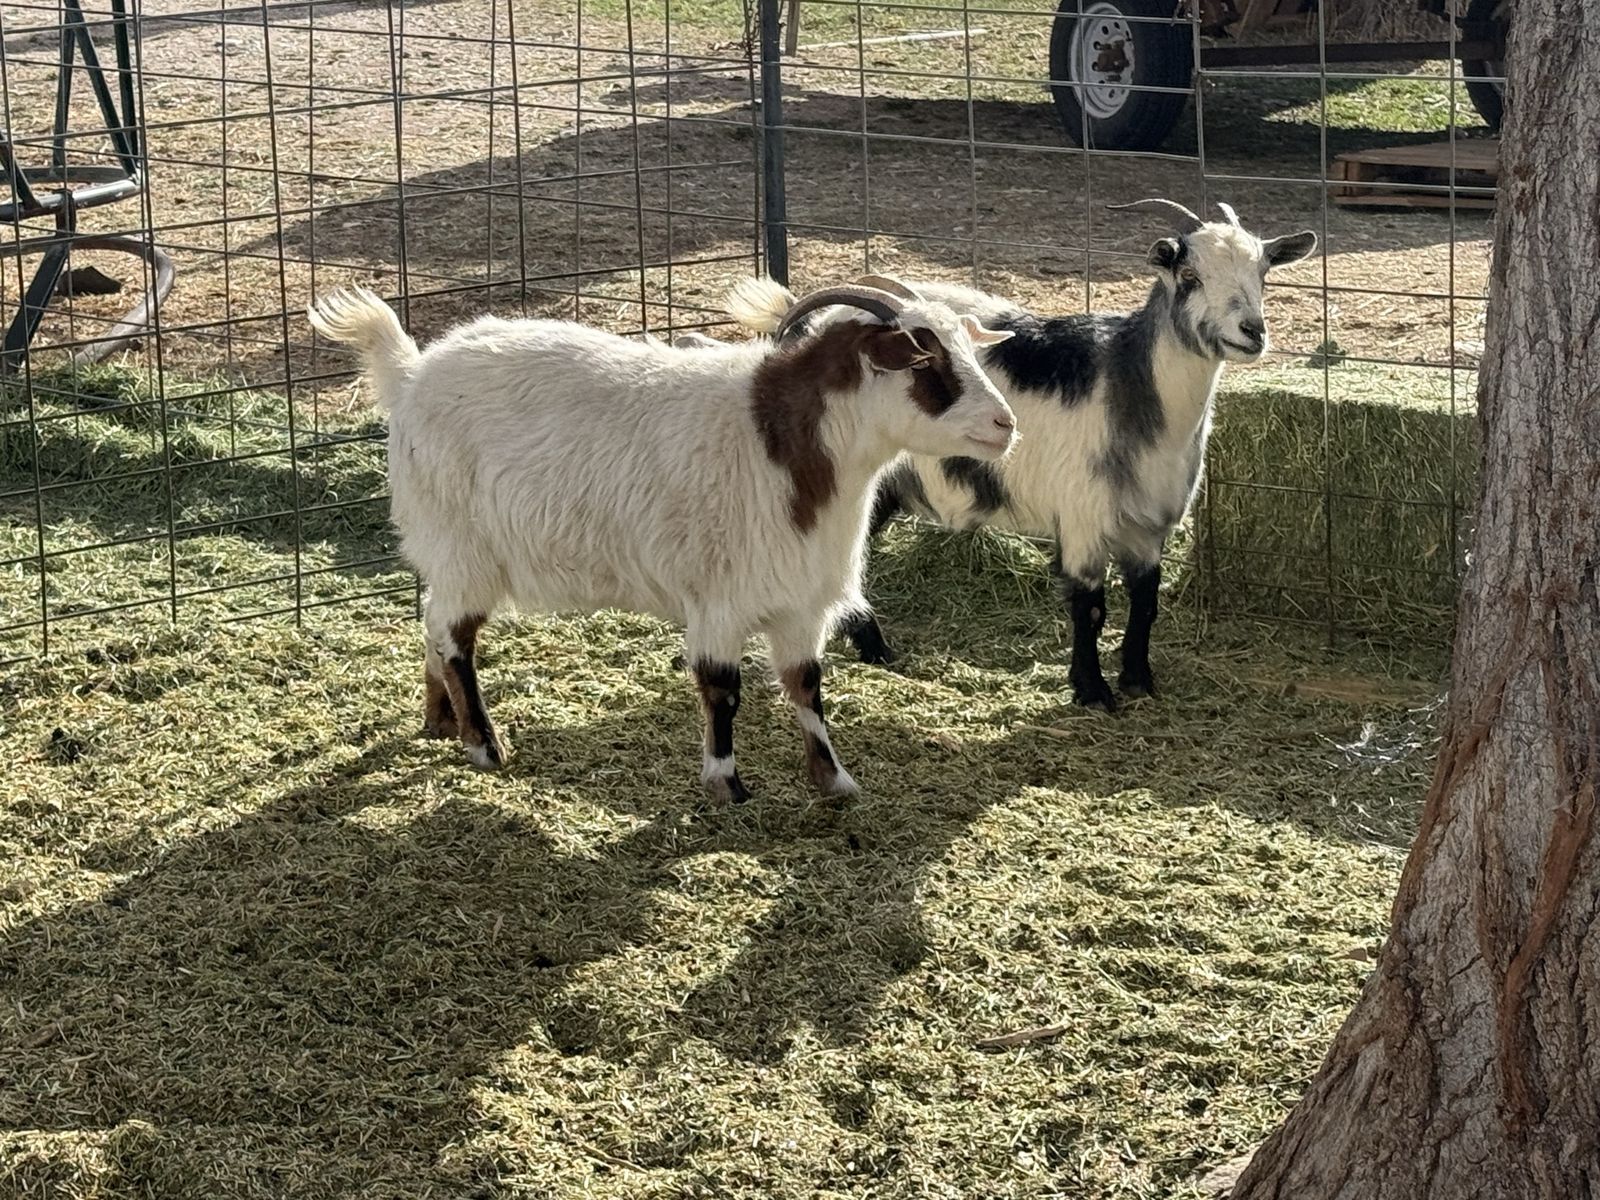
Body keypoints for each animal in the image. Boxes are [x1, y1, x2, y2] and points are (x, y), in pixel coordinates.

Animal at [306, 285, 1016, 800]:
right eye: (923, 359)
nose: (1005, 424)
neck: (783, 447)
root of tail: (411, 374)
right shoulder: (719, 599)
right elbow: (722, 690)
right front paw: (728, 786)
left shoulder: (800, 603)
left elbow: (806, 687)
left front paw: (834, 781)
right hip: (464, 548)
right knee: (453, 636)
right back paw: (483, 743)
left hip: (450, 553)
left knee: (431, 622)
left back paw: (440, 720)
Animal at [726, 199, 1316, 710]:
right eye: (1189, 276)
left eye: (1264, 272)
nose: (1252, 332)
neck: (1137, 394)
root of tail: (800, 322)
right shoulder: (1083, 517)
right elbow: (1091, 606)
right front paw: (1092, 692)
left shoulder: (1151, 524)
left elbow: (1145, 603)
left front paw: (1138, 681)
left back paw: (875, 649)